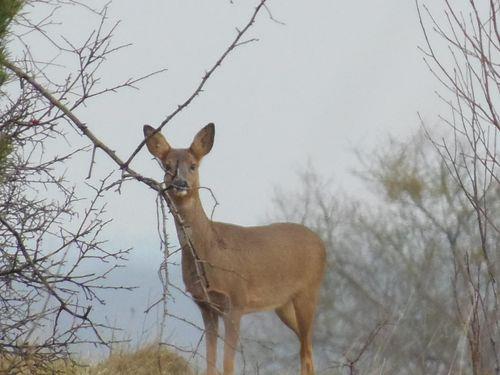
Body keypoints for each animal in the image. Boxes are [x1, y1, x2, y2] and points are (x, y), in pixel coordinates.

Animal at [143, 124, 326, 375]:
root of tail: (322, 244)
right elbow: (210, 361)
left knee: (306, 350)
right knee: (307, 348)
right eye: (167, 166)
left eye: (193, 165)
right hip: (283, 304)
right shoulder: (205, 305)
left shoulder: (236, 300)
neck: (209, 249)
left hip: (308, 291)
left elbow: (228, 364)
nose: (180, 184)